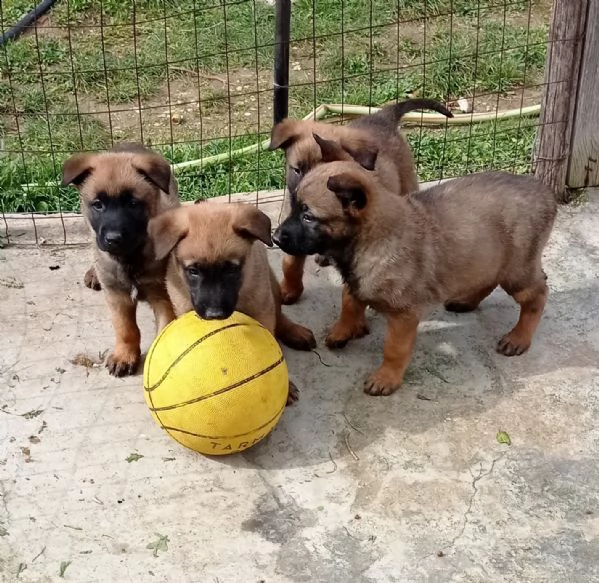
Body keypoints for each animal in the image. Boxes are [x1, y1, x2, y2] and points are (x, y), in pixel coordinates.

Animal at [63, 144, 180, 376]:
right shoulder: (116, 296)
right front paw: (124, 355)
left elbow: (164, 328)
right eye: (98, 205)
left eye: (133, 204)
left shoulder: (163, 296)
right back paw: (93, 273)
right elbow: (126, 329)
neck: (129, 258)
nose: (113, 239)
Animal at [270, 98, 452, 306]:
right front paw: (289, 290)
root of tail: (382, 117)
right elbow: (290, 262)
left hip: (407, 182)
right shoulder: (293, 226)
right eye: (298, 170)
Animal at [274, 136, 556, 396]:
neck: (372, 239)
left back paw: (518, 338)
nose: (275, 238)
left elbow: (394, 349)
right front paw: (344, 330)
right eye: (295, 208)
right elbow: (349, 301)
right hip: (487, 257)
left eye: (308, 216)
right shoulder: (357, 280)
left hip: (516, 271)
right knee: (488, 280)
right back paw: (466, 302)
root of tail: (546, 192)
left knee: (537, 295)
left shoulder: (404, 315)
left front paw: (386, 377)